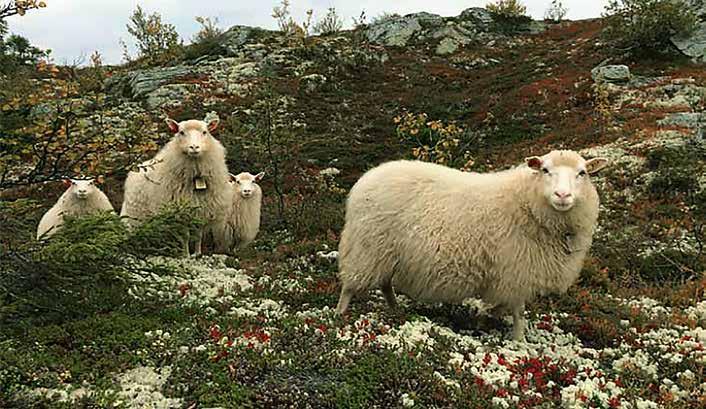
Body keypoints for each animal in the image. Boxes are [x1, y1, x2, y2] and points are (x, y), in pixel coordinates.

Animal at [120, 115, 228, 255]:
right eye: (181, 132)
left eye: (205, 132)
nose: (194, 147)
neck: (195, 177)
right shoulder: (179, 213)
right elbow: (185, 236)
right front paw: (186, 254)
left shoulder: (201, 209)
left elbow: (198, 235)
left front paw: (197, 254)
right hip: (137, 219)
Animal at [334, 150, 604, 342]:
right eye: (545, 170)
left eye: (582, 173)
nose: (562, 196)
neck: (527, 202)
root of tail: (365, 179)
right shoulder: (516, 271)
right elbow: (518, 311)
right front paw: (518, 340)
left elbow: (503, 306)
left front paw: (486, 316)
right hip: (366, 247)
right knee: (350, 286)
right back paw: (339, 315)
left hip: (386, 253)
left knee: (385, 283)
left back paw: (395, 309)